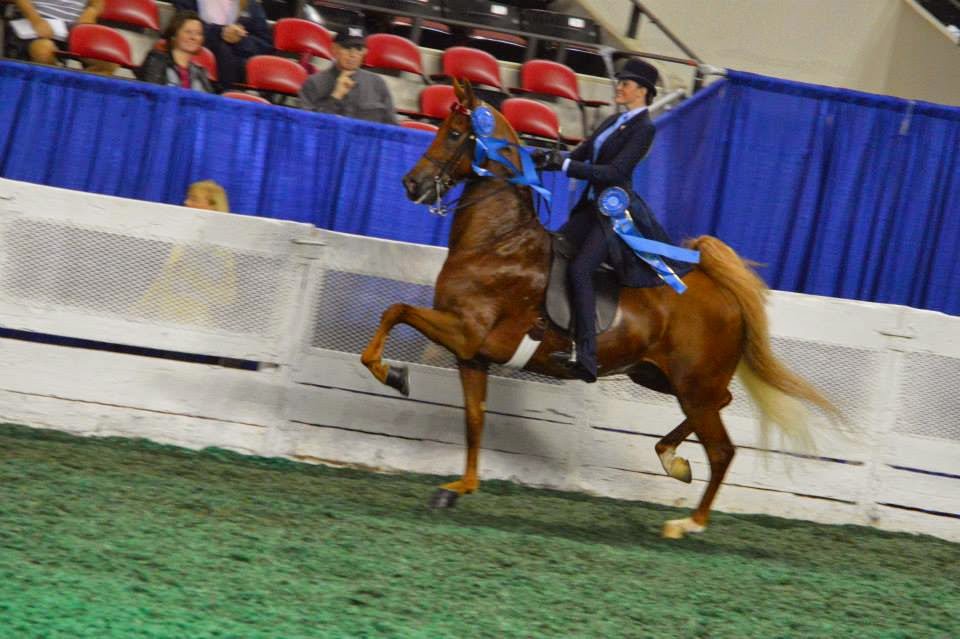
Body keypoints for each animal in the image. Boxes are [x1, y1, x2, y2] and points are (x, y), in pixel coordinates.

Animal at [361, 79, 838, 539]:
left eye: (456, 133)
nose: (411, 185)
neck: (497, 243)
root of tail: (721, 291)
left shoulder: (465, 332)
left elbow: (395, 311)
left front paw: (394, 376)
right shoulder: (471, 355)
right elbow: (474, 419)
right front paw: (458, 488)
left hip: (692, 385)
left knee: (722, 449)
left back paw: (688, 523)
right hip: (663, 376)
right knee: (724, 401)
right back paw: (671, 458)